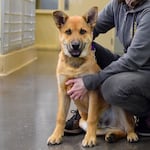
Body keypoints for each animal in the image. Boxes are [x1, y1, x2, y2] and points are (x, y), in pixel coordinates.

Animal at [47, 6, 138, 146]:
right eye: (68, 31)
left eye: (82, 31)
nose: (75, 45)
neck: (75, 64)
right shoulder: (63, 92)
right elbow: (60, 117)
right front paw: (56, 136)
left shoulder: (92, 93)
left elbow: (92, 118)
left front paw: (89, 138)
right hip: (83, 122)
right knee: (116, 129)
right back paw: (112, 135)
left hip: (121, 109)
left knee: (128, 127)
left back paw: (131, 135)